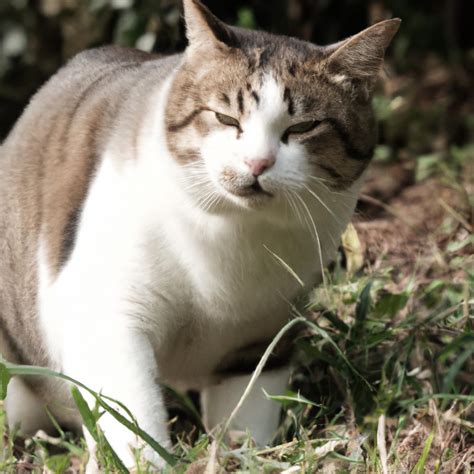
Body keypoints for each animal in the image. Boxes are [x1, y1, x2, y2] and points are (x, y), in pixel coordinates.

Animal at [0, 0, 400, 470]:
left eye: (303, 127)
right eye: (225, 118)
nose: (257, 163)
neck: (235, 232)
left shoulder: (262, 335)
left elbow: (248, 412)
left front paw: (241, 455)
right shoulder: (107, 312)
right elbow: (130, 415)